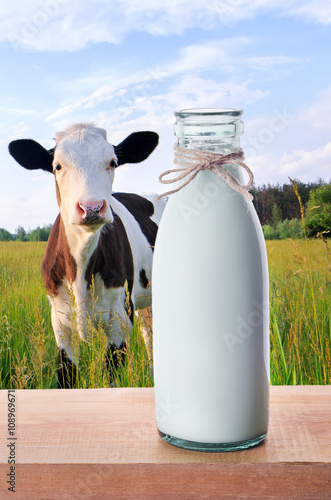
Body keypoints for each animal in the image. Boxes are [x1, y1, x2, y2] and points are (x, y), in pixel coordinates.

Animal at [9, 123, 166, 388]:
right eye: (57, 166)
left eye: (113, 162)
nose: (91, 208)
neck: (80, 272)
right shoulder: (60, 322)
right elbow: (67, 378)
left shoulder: (119, 320)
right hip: (145, 299)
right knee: (150, 335)